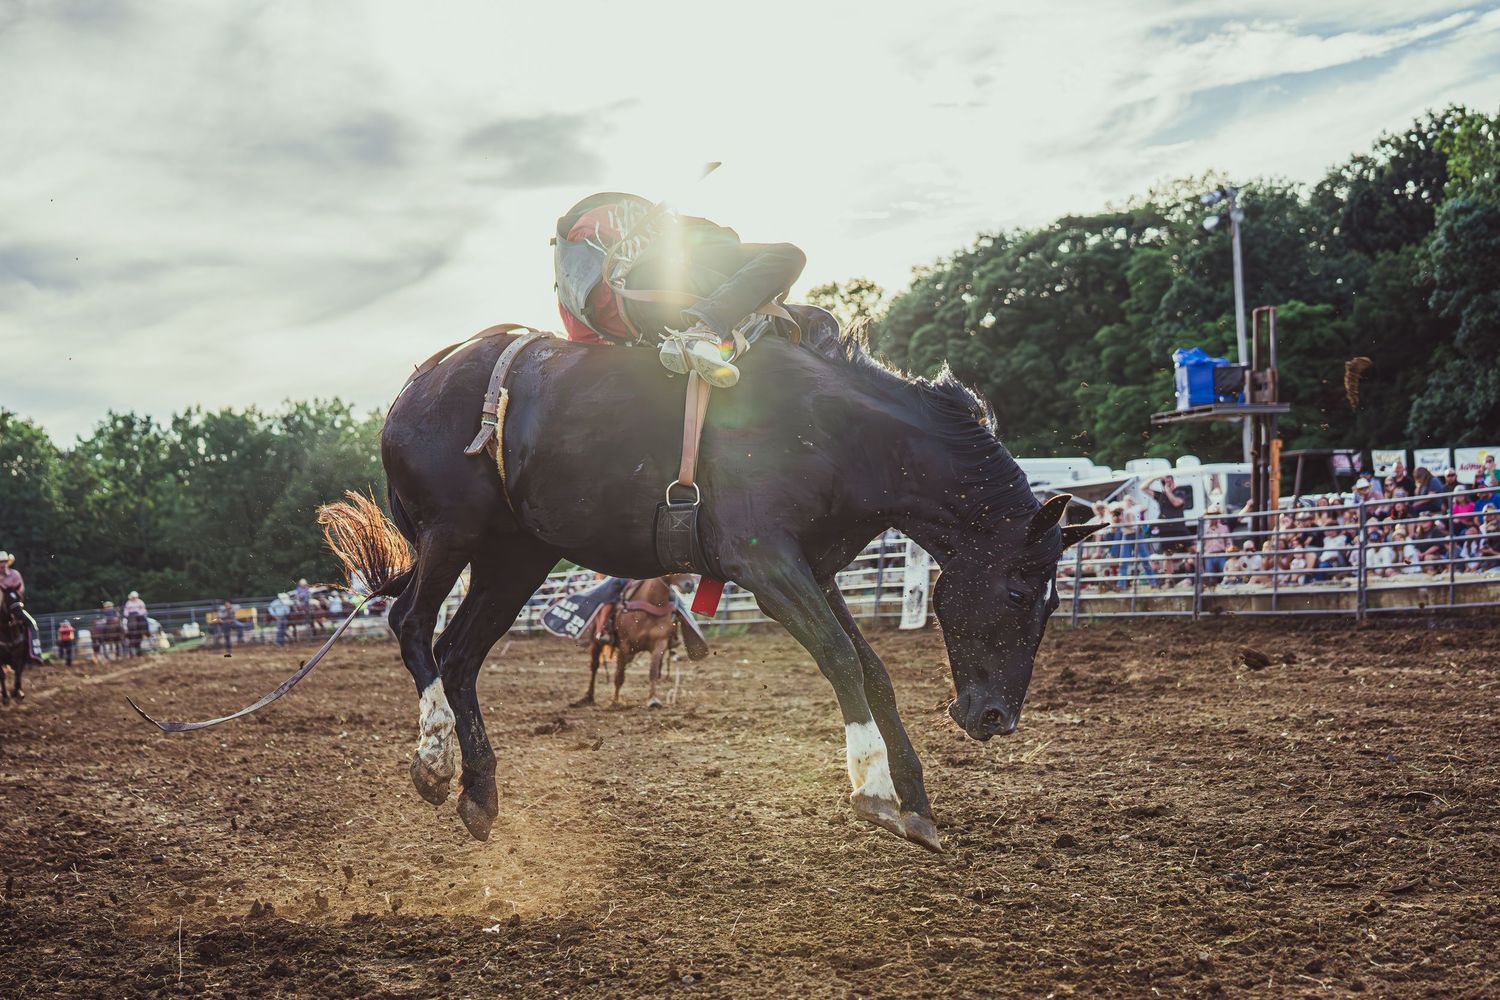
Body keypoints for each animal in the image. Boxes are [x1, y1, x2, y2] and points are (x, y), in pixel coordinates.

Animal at [139, 316, 1102, 851]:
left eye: (1054, 600)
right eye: (1023, 593)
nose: (993, 718)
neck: (837, 429)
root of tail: (419, 381)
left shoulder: (817, 570)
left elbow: (870, 669)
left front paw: (916, 804)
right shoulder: (766, 562)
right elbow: (839, 658)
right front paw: (872, 792)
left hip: (517, 557)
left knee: (458, 651)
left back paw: (482, 795)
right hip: (454, 534)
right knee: (413, 625)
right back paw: (435, 761)